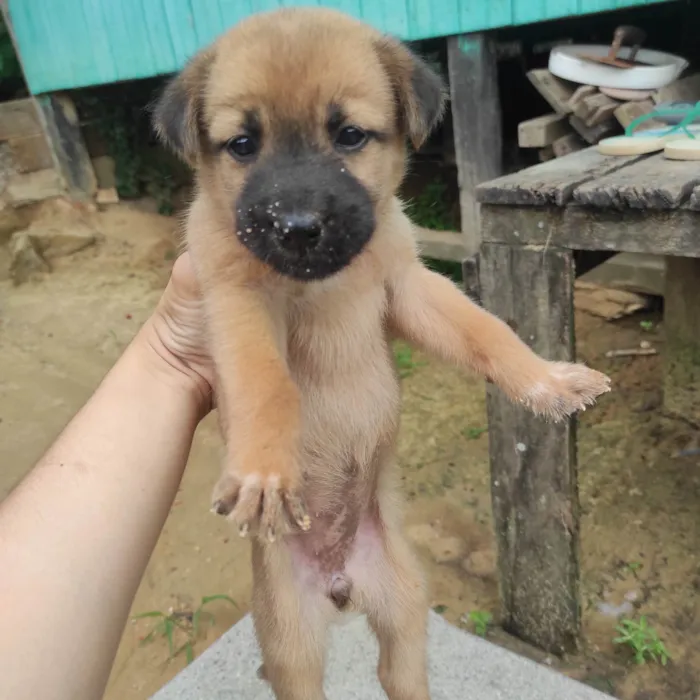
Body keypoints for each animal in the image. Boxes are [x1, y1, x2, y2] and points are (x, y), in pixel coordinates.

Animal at [152, 8, 608, 696]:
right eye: (242, 144)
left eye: (348, 135)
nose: (297, 228)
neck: (322, 283)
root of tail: (341, 583)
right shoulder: (235, 300)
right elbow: (265, 383)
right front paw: (263, 472)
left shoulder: (410, 287)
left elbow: (487, 332)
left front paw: (546, 381)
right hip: (291, 645)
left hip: (405, 616)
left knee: (401, 672)